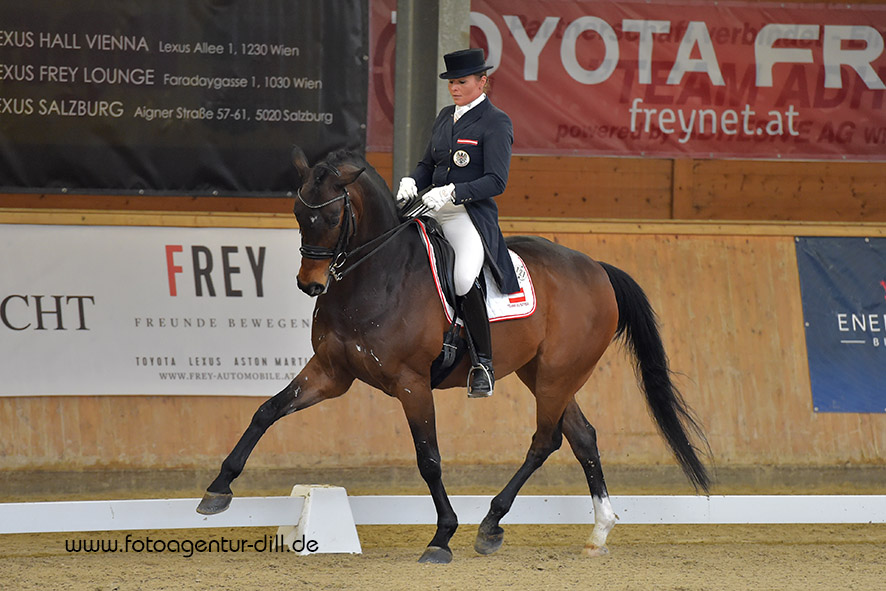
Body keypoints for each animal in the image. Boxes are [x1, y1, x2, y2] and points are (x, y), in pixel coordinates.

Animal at [198, 147, 712, 564]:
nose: (311, 285)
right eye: (297, 213)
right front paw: (218, 490)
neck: (376, 276)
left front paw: (442, 537)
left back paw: (490, 525)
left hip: (557, 376)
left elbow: (429, 459)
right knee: (582, 436)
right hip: (543, 374)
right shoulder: (330, 373)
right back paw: (598, 532)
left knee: (545, 441)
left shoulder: (411, 383)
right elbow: (267, 411)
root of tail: (596, 269)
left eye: (330, 218)